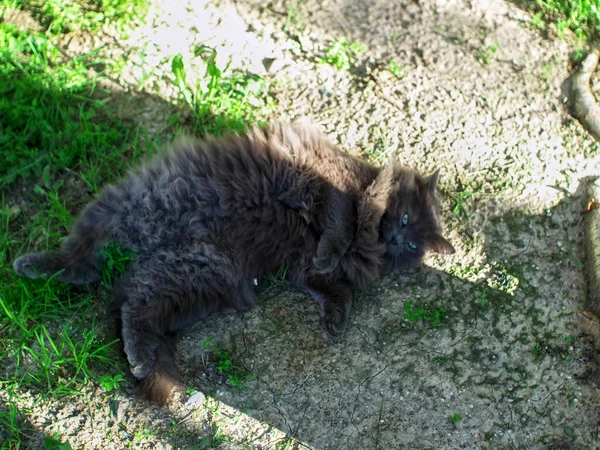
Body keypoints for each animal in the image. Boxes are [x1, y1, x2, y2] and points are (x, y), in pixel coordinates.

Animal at [12, 121, 454, 402]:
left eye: (411, 245)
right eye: (405, 220)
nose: (395, 239)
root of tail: (152, 248)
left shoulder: (304, 269)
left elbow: (335, 291)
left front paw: (334, 323)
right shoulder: (334, 186)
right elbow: (339, 225)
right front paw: (332, 252)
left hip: (195, 277)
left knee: (133, 307)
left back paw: (141, 359)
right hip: (129, 203)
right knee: (84, 253)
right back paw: (34, 265)